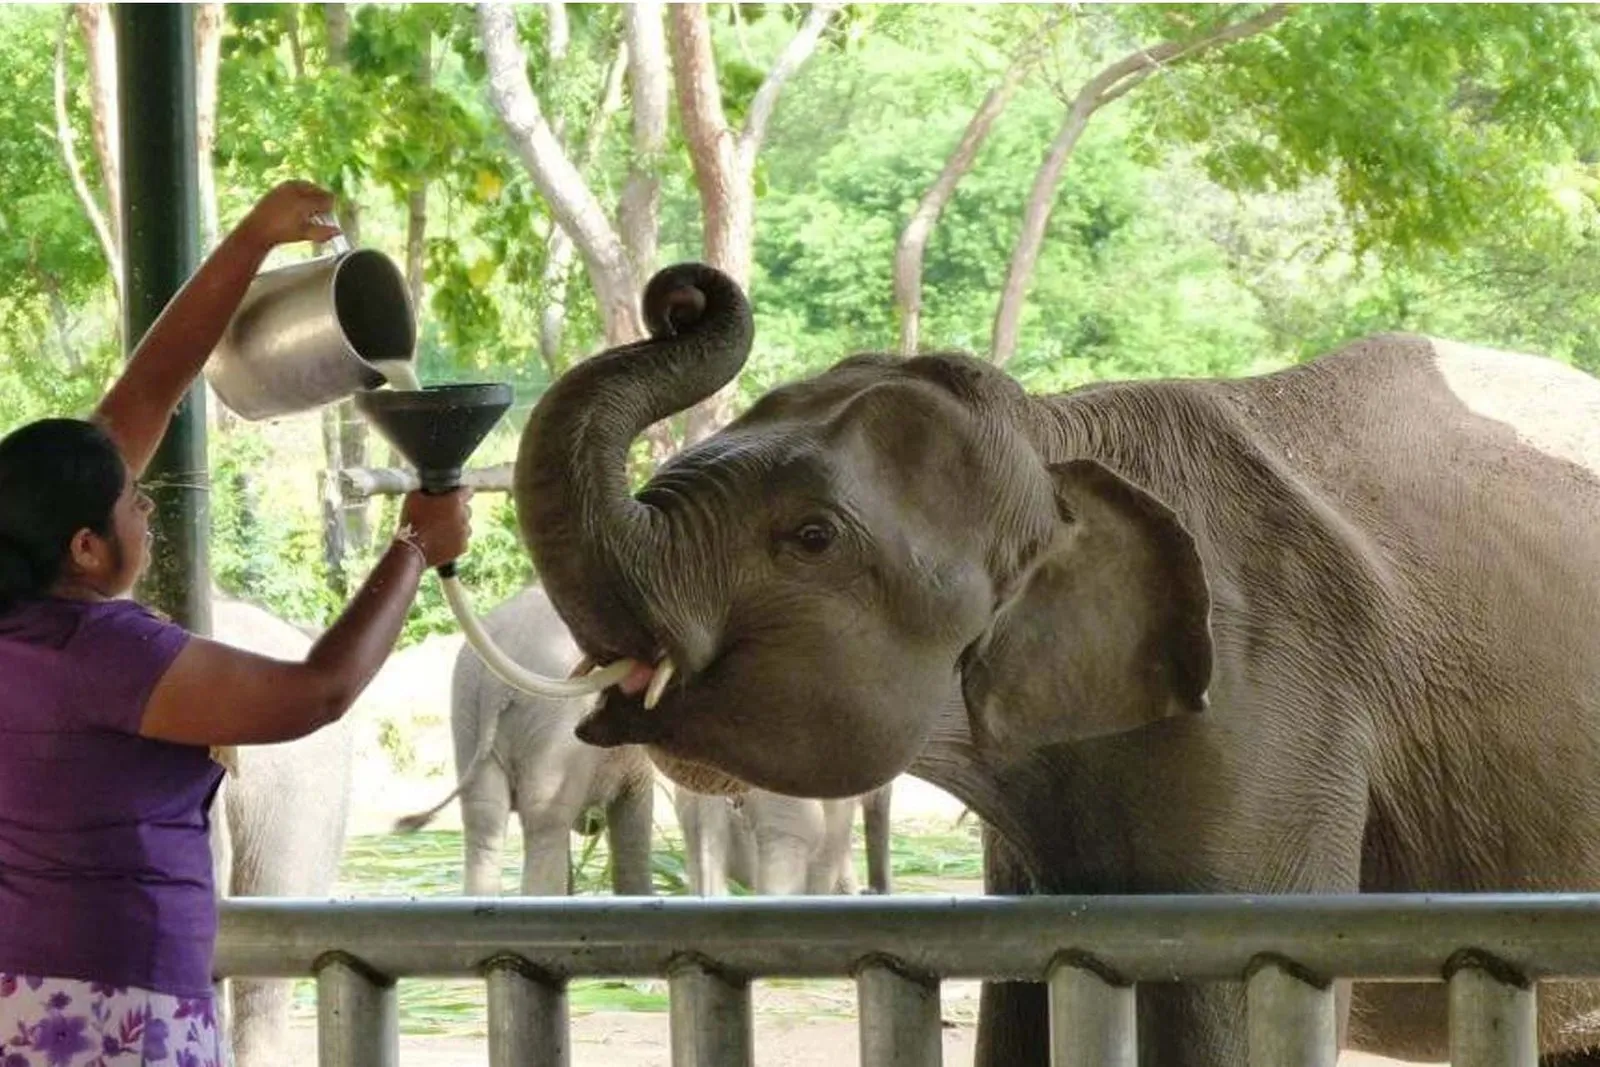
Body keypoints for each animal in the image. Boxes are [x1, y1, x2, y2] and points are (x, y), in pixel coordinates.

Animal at [395, 583, 656, 896]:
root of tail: (496, 684)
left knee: (484, 820)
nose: (592, 823)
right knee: (546, 824)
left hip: (468, 713)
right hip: (551, 725)